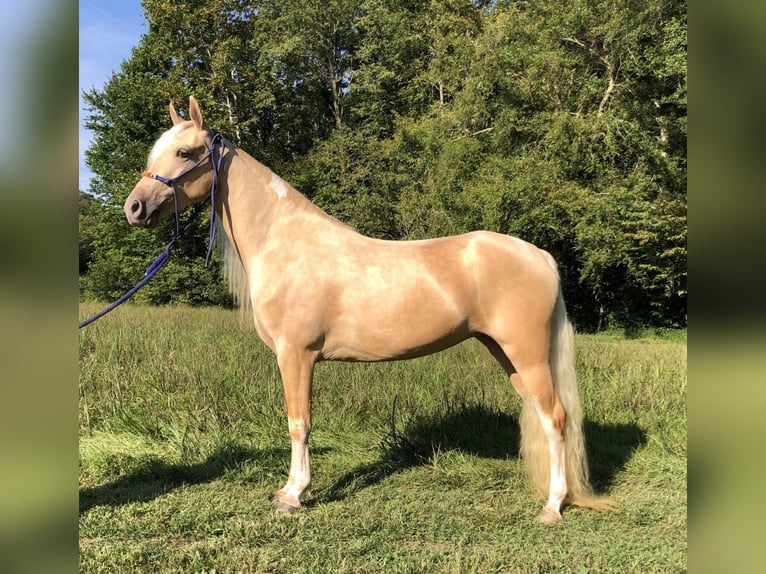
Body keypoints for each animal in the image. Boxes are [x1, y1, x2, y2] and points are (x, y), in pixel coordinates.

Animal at [127, 97, 616, 524]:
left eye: (185, 152)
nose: (135, 207)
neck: (285, 243)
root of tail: (540, 256)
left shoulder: (295, 356)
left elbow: (298, 424)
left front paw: (293, 495)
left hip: (528, 354)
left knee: (555, 419)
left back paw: (553, 507)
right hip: (509, 355)